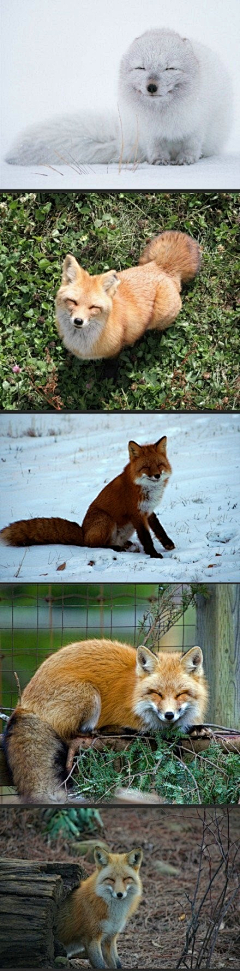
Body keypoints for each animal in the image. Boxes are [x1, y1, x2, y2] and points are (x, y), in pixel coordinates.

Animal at [6, 29, 232, 167]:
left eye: (170, 68)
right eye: (140, 68)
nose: (151, 86)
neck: (163, 115)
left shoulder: (197, 125)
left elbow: (191, 145)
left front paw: (187, 160)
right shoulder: (149, 131)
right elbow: (156, 148)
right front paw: (158, 161)